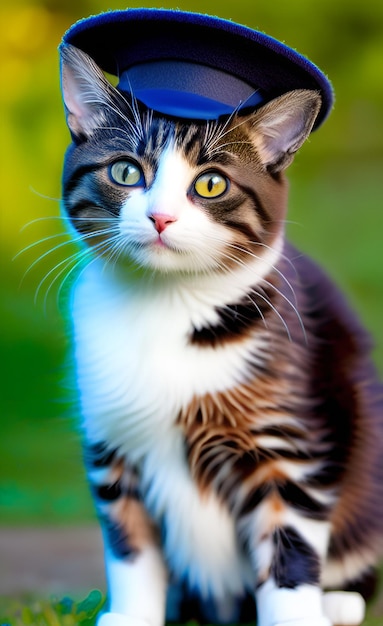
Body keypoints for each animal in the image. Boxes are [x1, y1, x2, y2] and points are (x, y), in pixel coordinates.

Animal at [58, 42, 383, 624]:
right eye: (125, 171)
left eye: (211, 183)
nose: (160, 217)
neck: (165, 305)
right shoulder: (111, 442)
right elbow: (129, 540)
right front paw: (132, 613)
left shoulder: (288, 442)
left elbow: (289, 540)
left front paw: (296, 616)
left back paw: (338, 602)